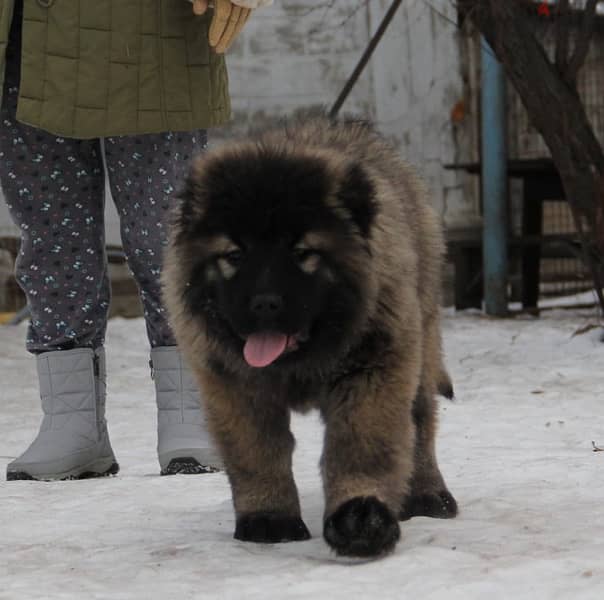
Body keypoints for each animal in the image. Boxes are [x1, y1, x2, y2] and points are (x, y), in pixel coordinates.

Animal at [163, 116, 456, 556]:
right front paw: (269, 518)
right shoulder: (235, 387)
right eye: (234, 255)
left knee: (421, 423)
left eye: (302, 253)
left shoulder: (372, 372)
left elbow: (361, 445)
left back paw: (427, 494)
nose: (264, 303)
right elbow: (257, 454)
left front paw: (361, 517)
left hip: (419, 342)